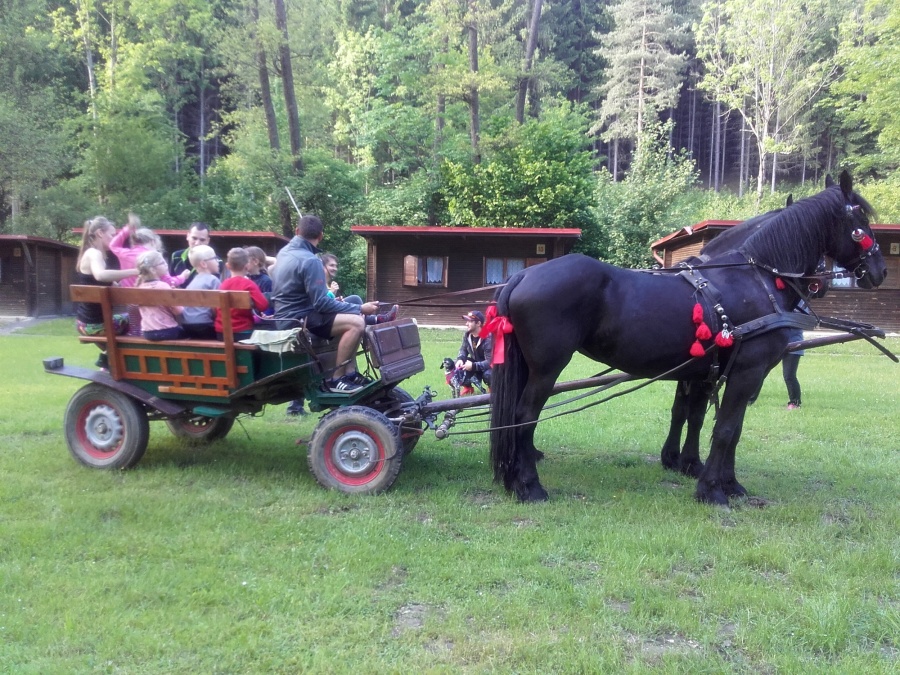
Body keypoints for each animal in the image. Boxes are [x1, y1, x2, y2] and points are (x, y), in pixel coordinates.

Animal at [488, 172, 887, 504]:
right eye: (861, 223)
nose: (879, 271)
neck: (757, 279)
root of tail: (522, 276)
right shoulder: (747, 371)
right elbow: (724, 428)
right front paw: (711, 489)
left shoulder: (709, 372)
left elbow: (712, 421)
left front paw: (722, 480)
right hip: (547, 367)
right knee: (524, 416)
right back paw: (530, 486)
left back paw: (514, 479)